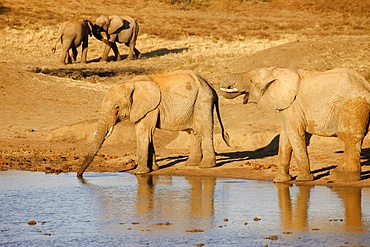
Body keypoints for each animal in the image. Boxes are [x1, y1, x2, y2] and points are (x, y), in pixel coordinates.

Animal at [76, 70, 230, 178]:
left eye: (116, 107)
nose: (79, 176)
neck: (130, 84)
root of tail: (212, 88)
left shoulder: (151, 107)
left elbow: (143, 131)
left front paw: (139, 173)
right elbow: (147, 133)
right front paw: (154, 169)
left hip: (203, 101)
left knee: (205, 129)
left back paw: (206, 167)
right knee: (194, 132)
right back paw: (191, 164)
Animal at [220, 67, 370, 183]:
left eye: (251, 81)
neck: (276, 70)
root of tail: (366, 86)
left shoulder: (294, 105)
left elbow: (295, 134)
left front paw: (303, 179)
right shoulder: (286, 106)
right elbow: (285, 137)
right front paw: (280, 181)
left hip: (352, 107)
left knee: (351, 138)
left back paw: (347, 178)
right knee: (351, 140)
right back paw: (336, 174)